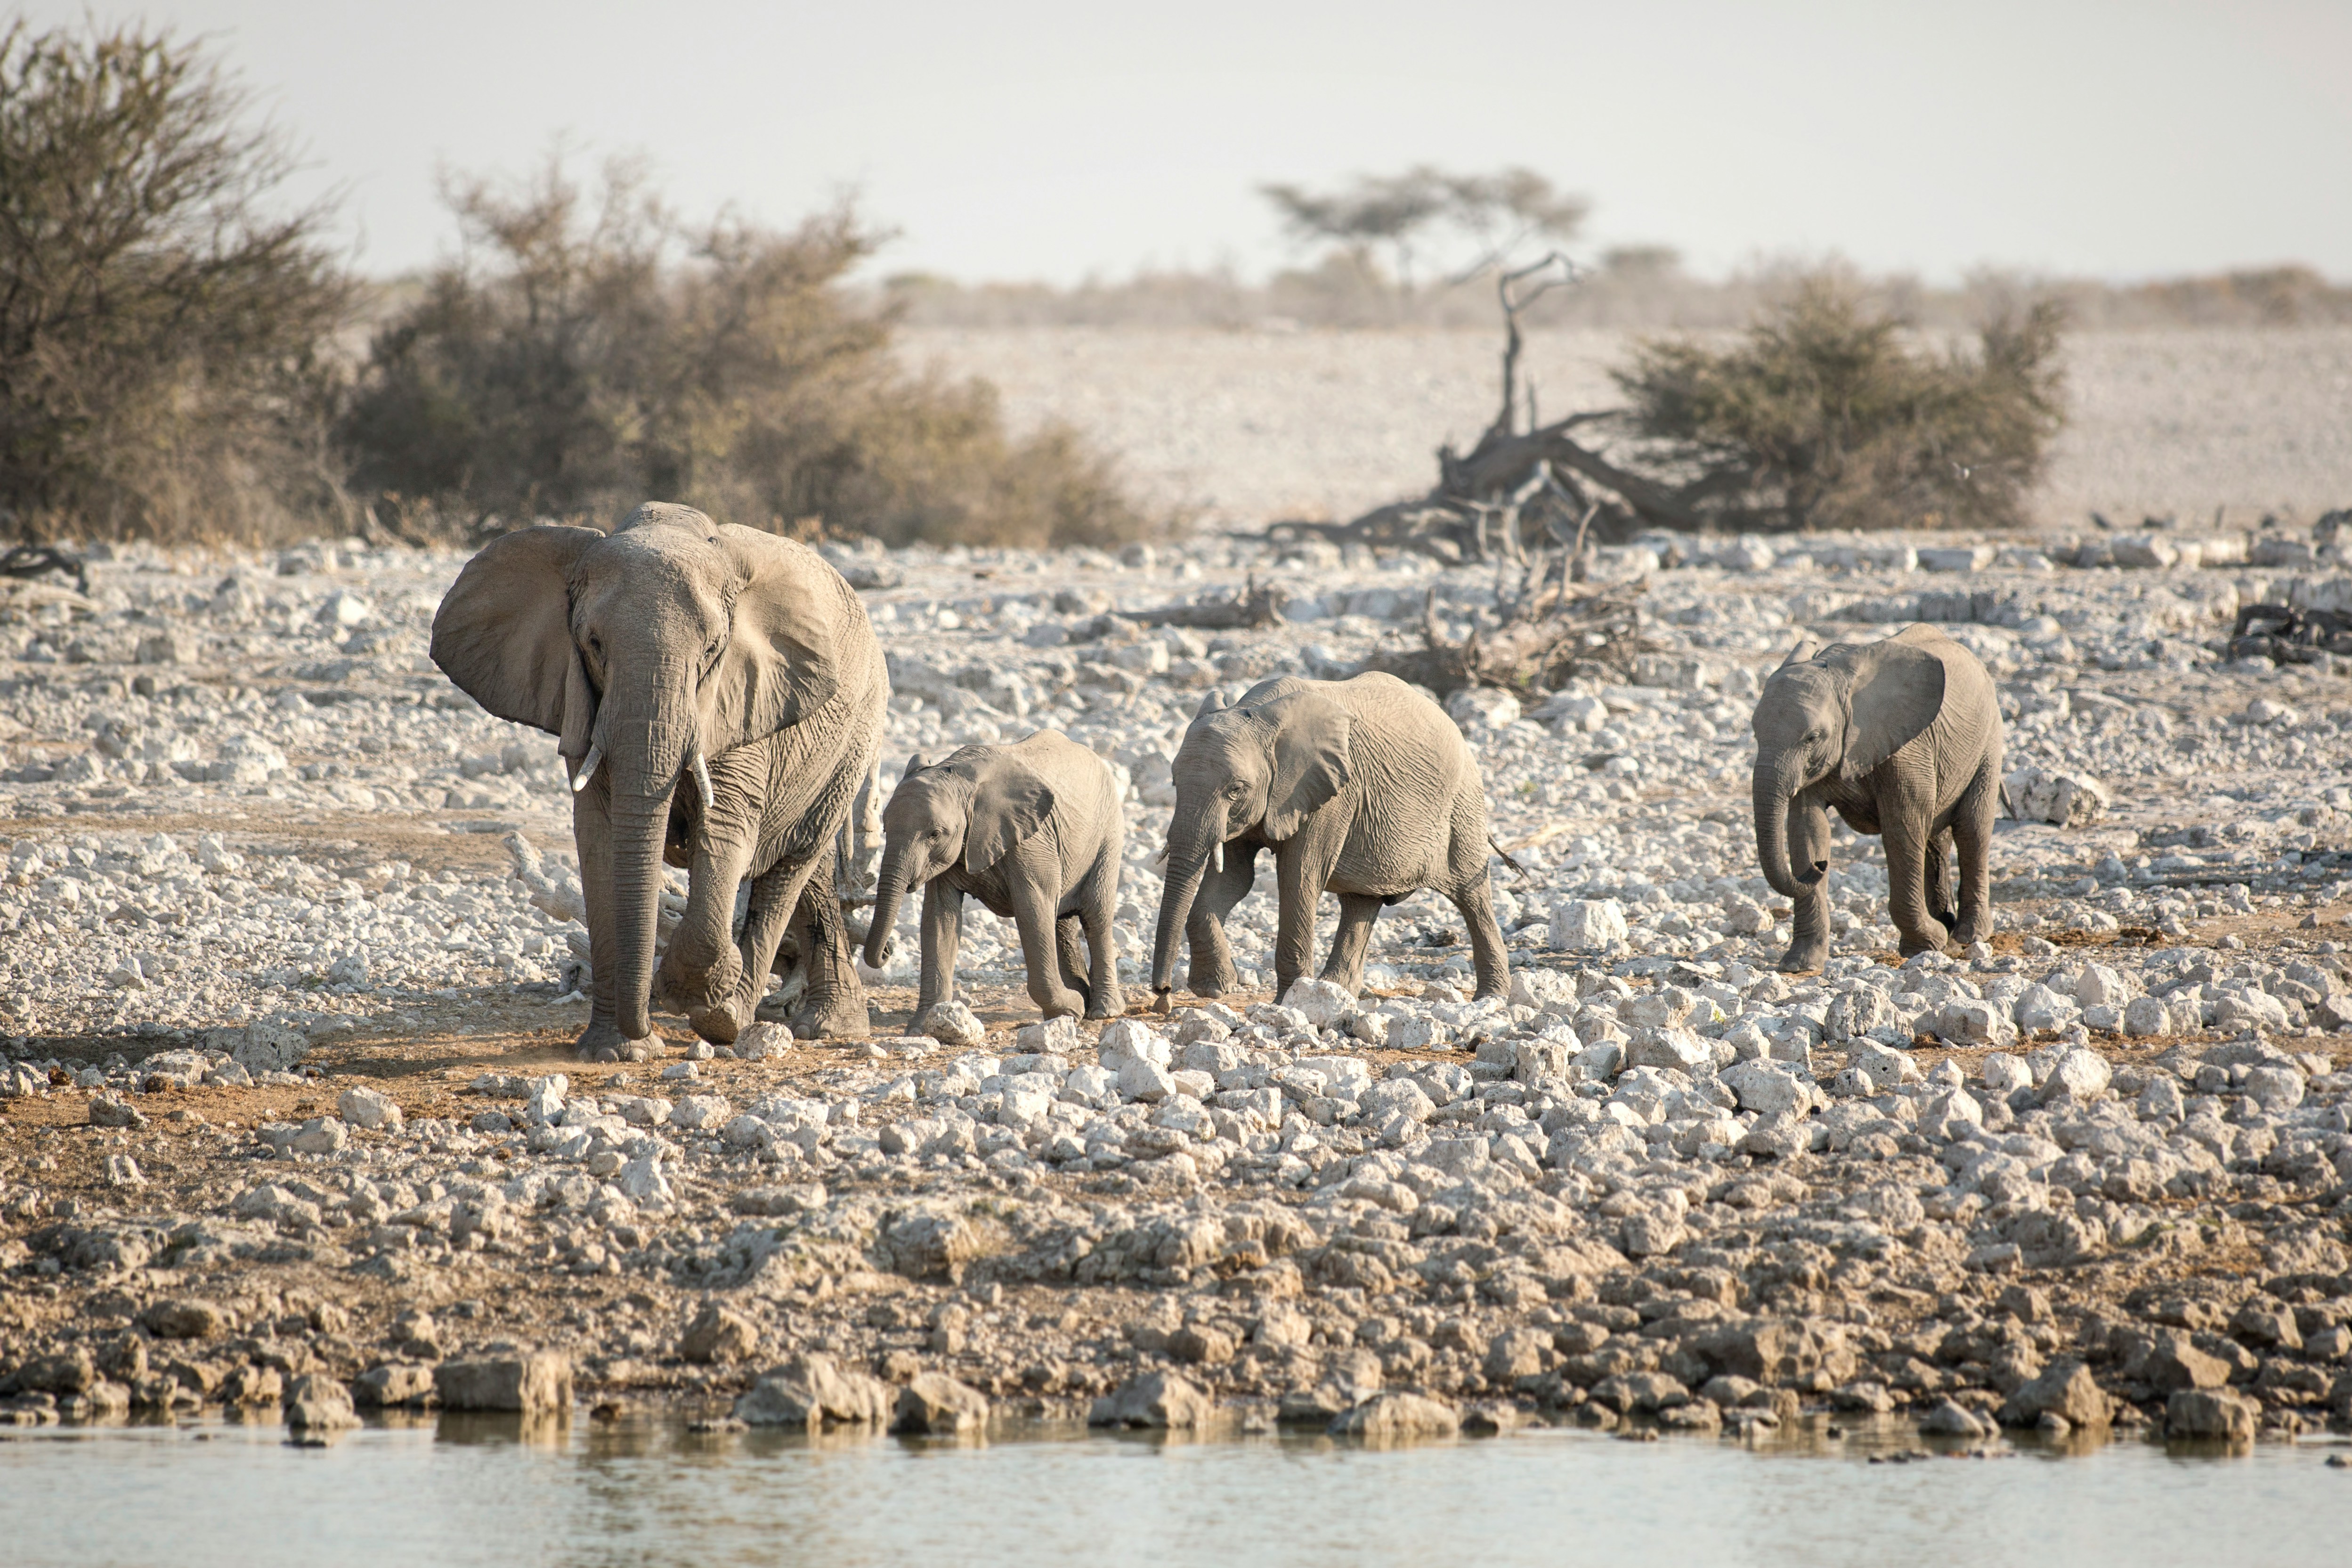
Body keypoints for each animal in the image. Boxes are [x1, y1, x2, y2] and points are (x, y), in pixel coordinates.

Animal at [431, 502, 888, 1059]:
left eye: (713, 648)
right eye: (593, 643)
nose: (643, 1027)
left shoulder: (741, 698)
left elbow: (726, 826)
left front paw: (686, 995)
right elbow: (601, 837)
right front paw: (615, 1052)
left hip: (856, 732)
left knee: (792, 862)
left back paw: (735, 1021)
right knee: (810, 873)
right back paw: (820, 1023)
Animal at [862, 730, 1125, 1027]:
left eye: (934, 834)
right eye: (885, 828)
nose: (887, 952)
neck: (958, 777)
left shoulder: (1032, 840)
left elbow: (1033, 909)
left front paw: (1072, 1009)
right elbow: (939, 918)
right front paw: (922, 1027)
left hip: (1108, 833)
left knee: (1096, 915)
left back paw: (1104, 1011)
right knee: (1062, 921)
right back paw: (1079, 1001)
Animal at [1150, 672, 1510, 1005]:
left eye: (1236, 789)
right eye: (1174, 782)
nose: (1163, 994)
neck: (1260, 714)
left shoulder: (1331, 793)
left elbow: (1298, 875)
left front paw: (1288, 1002)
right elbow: (1236, 877)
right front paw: (1215, 989)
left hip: (1463, 804)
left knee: (1472, 894)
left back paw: (1490, 998)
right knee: (1361, 901)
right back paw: (1337, 992)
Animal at [1751, 622, 2004, 973]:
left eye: (1812, 738)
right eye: (1755, 733)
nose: (1820, 866)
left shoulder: (1907, 750)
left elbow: (1902, 829)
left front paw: (1926, 945)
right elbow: (1808, 829)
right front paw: (1799, 966)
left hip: (1988, 741)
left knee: (1972, 829)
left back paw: (1968, 936)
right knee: (1936, 838)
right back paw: (1949, 930)